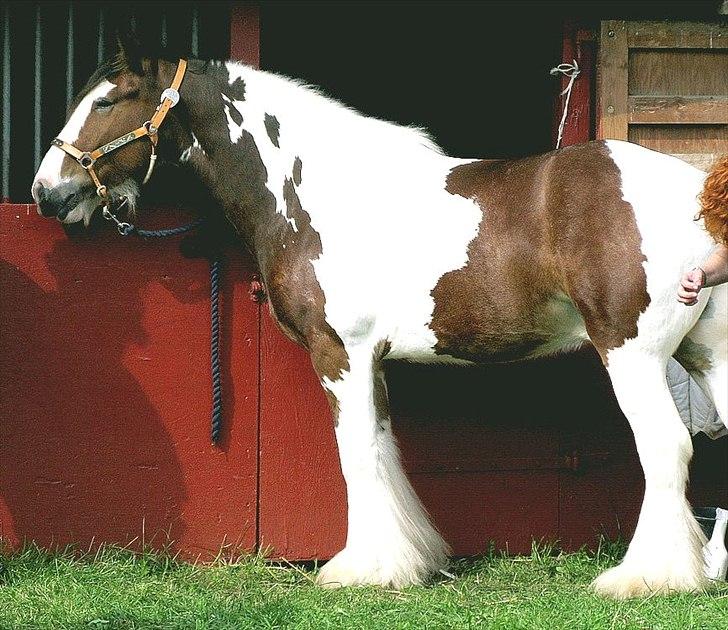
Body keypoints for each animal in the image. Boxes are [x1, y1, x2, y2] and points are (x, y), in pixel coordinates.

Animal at [31, 45, 724, 604]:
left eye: (109, 99)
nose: (46, 192)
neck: (314, 190)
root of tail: (699, 193)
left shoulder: (340, 352)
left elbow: (357, 455)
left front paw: (360, 570)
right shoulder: (373, 360)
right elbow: (385, 453)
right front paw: (410, 559)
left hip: (632, 353)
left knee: (666, 446)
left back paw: (645, 577)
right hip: (706, 356)